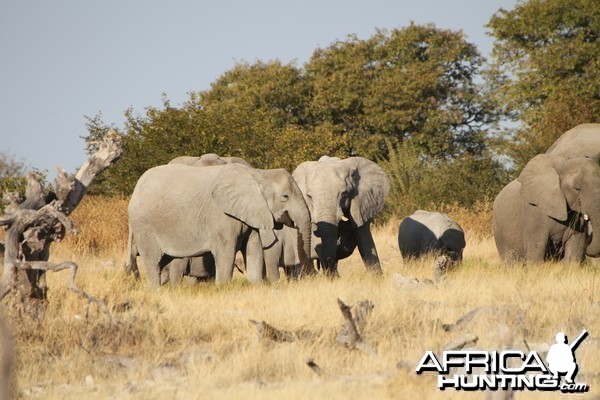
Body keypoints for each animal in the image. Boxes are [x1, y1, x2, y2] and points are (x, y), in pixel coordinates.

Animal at [127, 163, 314, 288]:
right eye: (285, 196)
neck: (257, 174)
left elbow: (253, 248)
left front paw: (256, 286)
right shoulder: (221, 217)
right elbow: (226, 252)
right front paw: (223, 289)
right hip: (143, 225)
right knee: (153, 261)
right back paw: (156, 290)